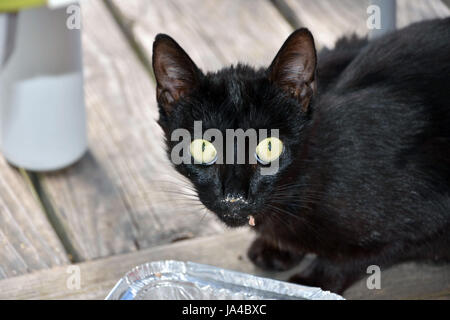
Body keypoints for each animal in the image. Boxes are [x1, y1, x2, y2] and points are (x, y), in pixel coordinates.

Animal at [152, 16, 450, 292]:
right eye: (203, 147)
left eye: (269, 146)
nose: (234, 198)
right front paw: (275, 247)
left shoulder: (428, 213)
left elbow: (361, 256)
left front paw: (312, 282)